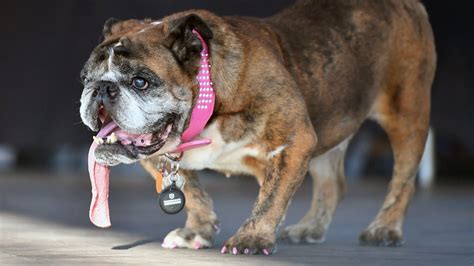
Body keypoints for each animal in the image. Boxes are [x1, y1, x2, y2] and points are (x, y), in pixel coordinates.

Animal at [79, 0, 436, 256]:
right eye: (85, 79)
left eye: (140, 81)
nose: (101, 89)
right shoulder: (160, 157)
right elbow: (192, 192)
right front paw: (197, 231)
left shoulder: (295, 140)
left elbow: (270, 199)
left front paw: (251, 237)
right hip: (331, 124)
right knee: (332, 184)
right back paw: (311, 227)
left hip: (407, 114)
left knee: (403, 181)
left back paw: (384, 229)